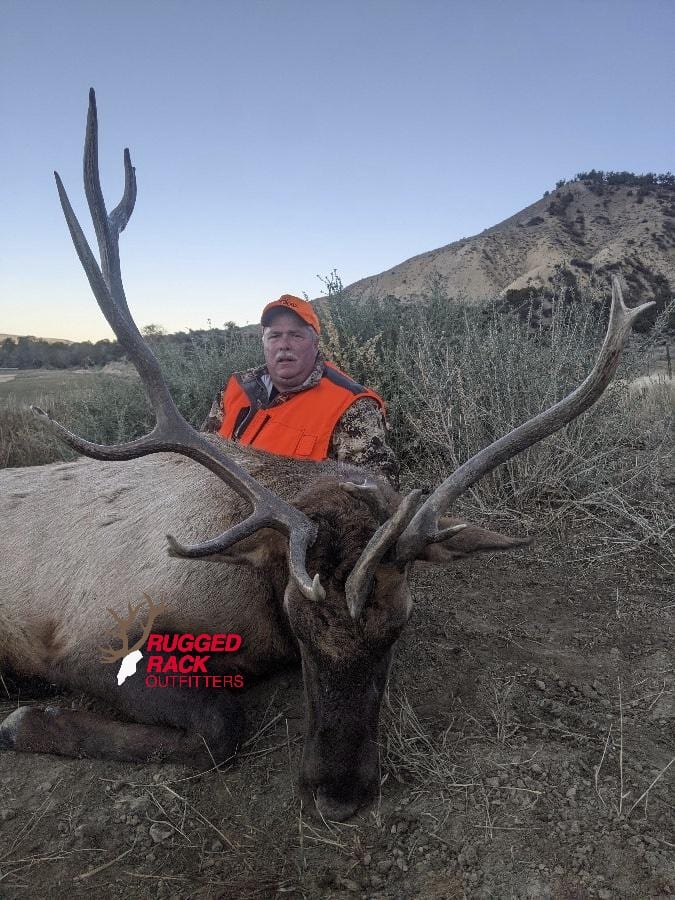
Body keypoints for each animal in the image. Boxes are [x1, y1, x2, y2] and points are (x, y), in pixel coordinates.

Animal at [0, 90, 653, 822]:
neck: (247, 593)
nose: (340, 796)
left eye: (399, 629)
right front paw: (27, 721)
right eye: (299, 626)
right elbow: (220, 725)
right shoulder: (83, 638)